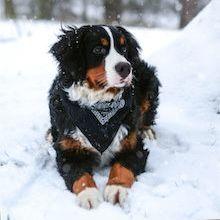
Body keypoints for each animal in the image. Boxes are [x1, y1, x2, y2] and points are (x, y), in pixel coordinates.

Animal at [47, 24, 160, 209]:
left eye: (123, 48)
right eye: (98, 49)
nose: (125, 67)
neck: (100, 103)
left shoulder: (133, 145)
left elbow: (122, 166)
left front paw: (117, 188)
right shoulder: (68, 151)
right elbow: (79, 174)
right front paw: (89, 194)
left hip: (148, 79)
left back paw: (147, 130)